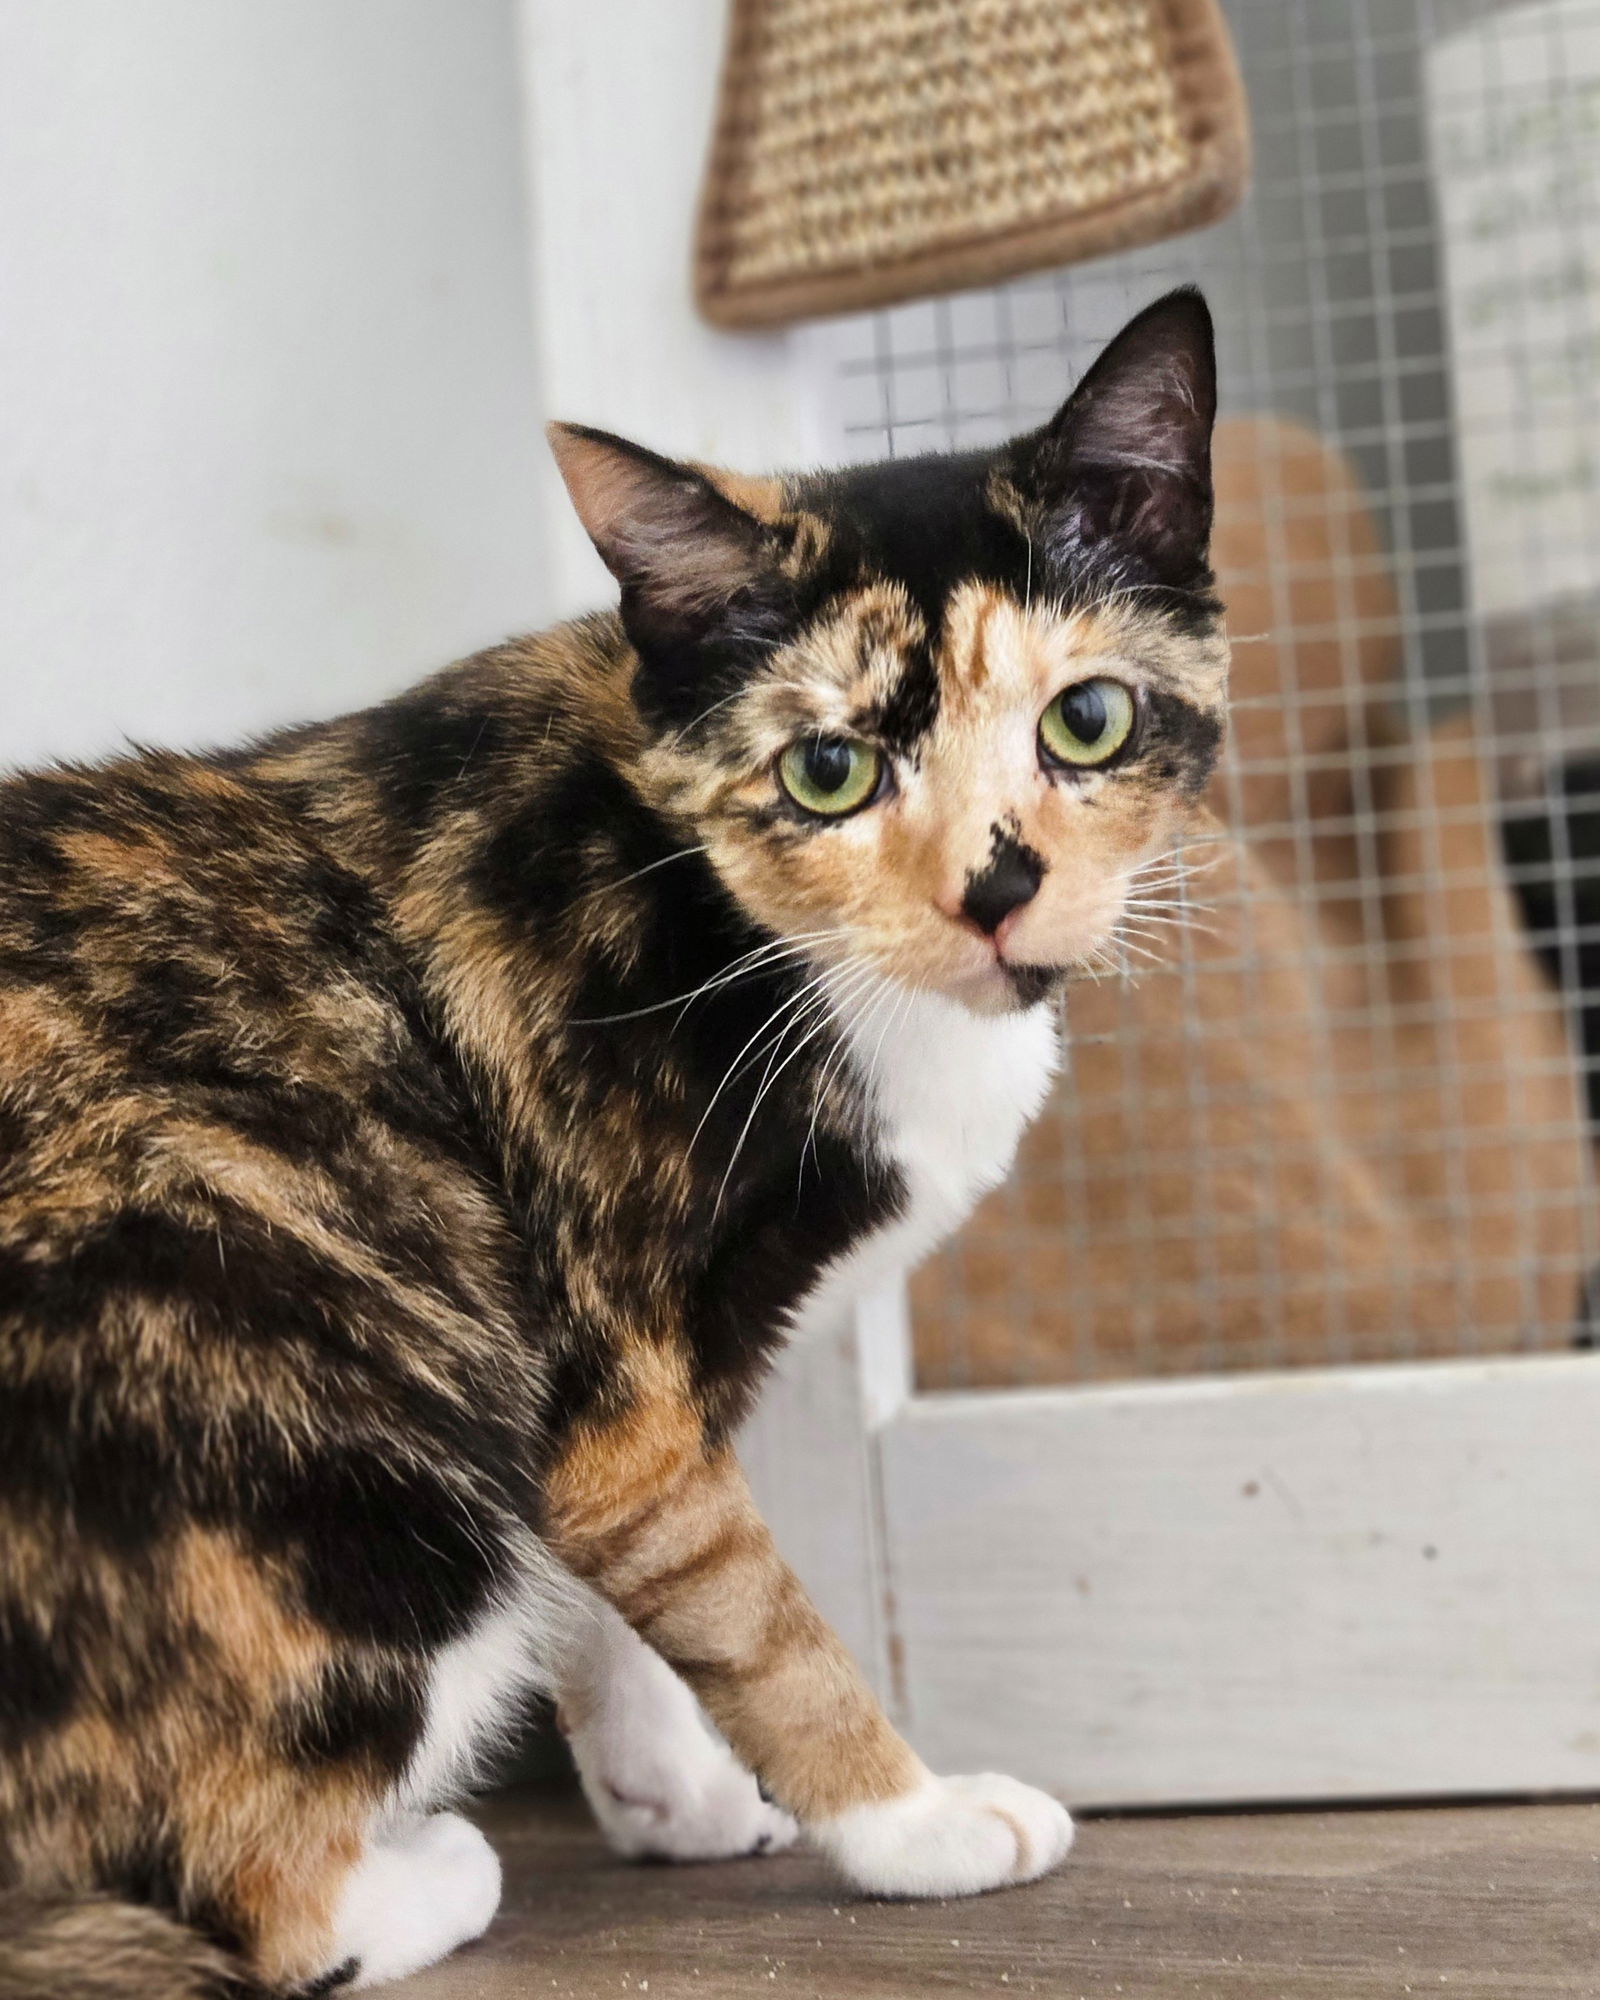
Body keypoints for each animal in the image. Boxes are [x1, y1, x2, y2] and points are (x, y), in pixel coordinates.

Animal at [0, 290, 1224, 1992]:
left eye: (1088, 719)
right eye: (829, 769)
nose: (996, 888)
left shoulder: (617, 1396)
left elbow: (627, 1592)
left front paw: (674, 1793)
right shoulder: (609, 1354)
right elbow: (747, 1609)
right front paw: (912, 1823)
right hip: (335, 1385)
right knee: (239, 1897)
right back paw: (427, 1873)